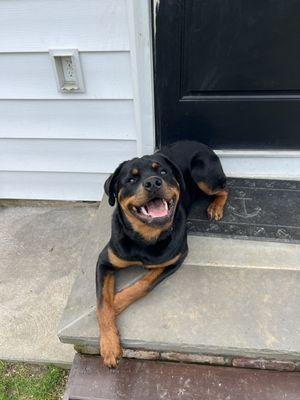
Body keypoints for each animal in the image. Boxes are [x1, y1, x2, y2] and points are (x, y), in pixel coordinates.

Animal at [95, 142, 227, 368]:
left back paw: (216, 207)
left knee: (224, 189)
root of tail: (201, 144)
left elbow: (143, 284)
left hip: (203, 175)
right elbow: (102, 303)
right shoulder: (105, 261)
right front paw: (109, 345)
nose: (153, 183)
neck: (145, 238)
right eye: (131, 179)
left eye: (163, 172)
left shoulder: (175, 259)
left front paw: (117, 302)